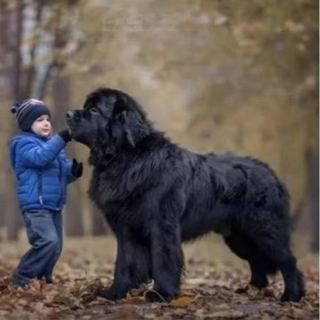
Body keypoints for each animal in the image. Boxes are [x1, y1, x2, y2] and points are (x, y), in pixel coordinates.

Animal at [65, 87, 304, 302]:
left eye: (94, 110)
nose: (68, 114)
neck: (125, 157)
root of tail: (271, 172)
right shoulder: (126, 229)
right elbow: (124, 263)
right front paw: (113, 293)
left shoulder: (162, 225)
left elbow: (163, 259)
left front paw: (161, 293)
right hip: (239, 237)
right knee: (257, 261)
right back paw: (251, 290)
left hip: (265, 229)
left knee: (287, 260)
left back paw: (292, 295)